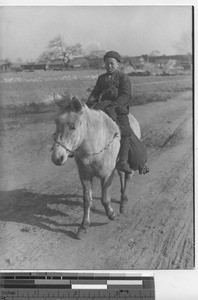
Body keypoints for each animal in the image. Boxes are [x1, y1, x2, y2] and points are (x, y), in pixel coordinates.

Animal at [51, 94, 141, 239]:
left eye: (73, 127)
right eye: (56, 123)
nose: (57, 157)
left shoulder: (107, 175)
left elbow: (105, 199)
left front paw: (111, 214)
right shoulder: (85, 176)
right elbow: (87, 200)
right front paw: (84, 226)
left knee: (127, 176)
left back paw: (123, 203)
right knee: (121, 175)